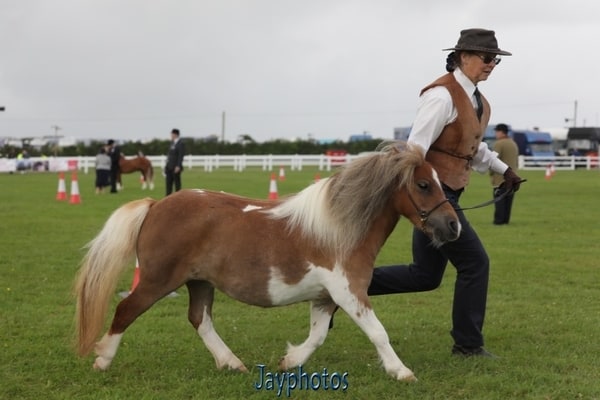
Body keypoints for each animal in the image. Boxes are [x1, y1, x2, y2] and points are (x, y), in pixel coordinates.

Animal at [74, 141, 460, 382]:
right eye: (423, 185)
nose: (453, 226)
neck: (338, 227)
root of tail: (155, 205)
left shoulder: (326, 297)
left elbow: (317, 336)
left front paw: (290, 362)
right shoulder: (348, 291)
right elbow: (378, 332)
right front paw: (402, 372)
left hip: (200, 282)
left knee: (200, 319)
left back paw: (231, 363)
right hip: (157, 281)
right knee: (126, 310)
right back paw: (102, 359)